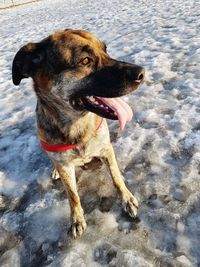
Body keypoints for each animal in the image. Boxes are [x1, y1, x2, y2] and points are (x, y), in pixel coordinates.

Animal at [12, 29, 144, 239]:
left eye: (105, 49)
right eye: (85, 61)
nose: (141, 73)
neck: (77, 126)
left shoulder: (106, 149)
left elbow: (116, 177)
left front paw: (126, 198)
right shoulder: (65, 166)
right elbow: (72, 195)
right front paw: (76, 219)